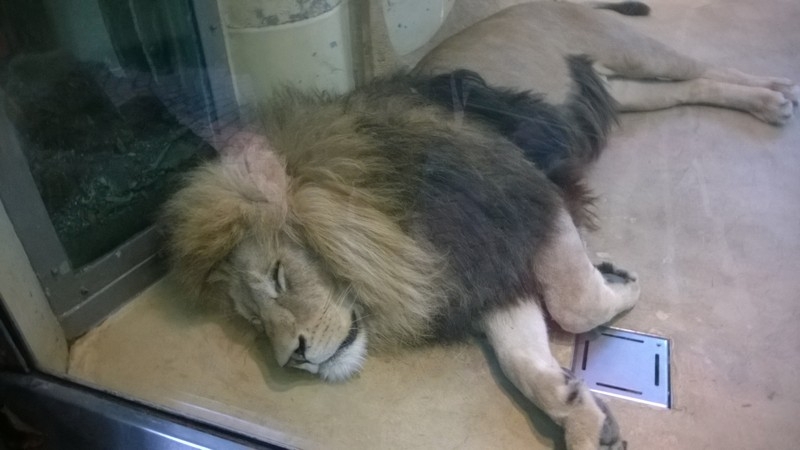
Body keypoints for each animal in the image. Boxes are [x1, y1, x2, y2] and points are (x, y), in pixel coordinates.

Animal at [161, 0, 792, 450]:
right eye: (251, 319)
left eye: (279, 276)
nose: (290, 358)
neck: (395, 213)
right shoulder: (480, 272)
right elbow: (523, 362)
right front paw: (582, 417)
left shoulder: (527, 196)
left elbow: (574, 303)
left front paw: (617, 282)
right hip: (620, 90)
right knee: (689, 87)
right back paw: (763, 102)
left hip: (633, 50)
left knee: (702, 64)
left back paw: (776, 95)